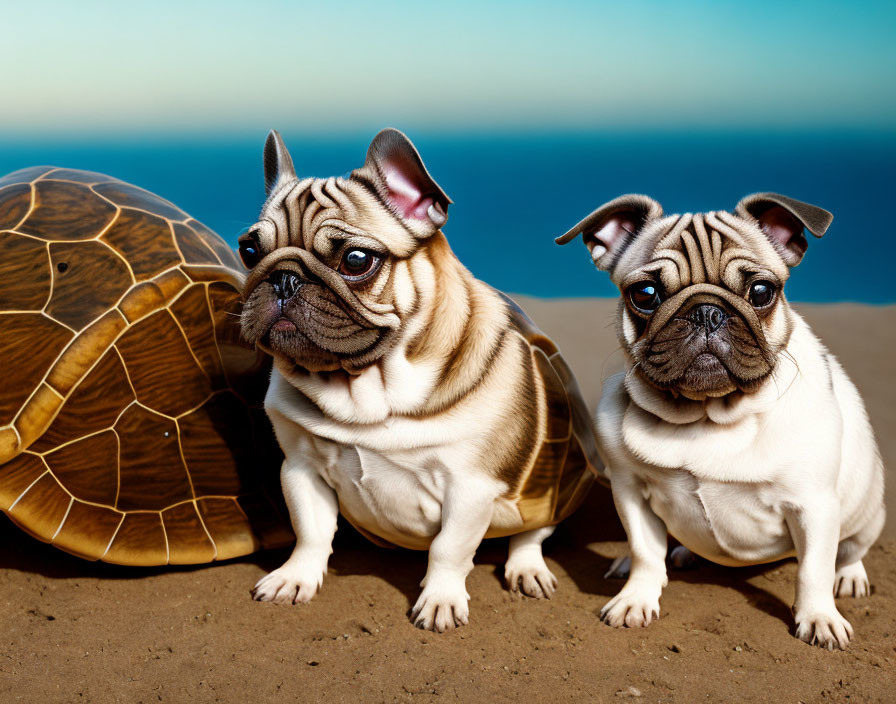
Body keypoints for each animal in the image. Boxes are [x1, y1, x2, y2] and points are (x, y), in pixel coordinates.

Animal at [238, 128, 600, 632]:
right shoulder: (300, 469)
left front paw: (440, 599)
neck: (364, 388)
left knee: (530, 533)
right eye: (249, 251)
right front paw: (296, 577)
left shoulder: (471, 487)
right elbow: (309, 532)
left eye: (356, 260)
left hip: (549, 486)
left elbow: (449, 548)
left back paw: (526, 568)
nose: (283, 279)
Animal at [556, 192, 884, 648]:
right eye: (645, 294)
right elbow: (644, 551)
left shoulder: (814, 505)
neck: (708, 415)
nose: (707, 312)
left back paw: (849, 576)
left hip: (868, 508)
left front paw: (819, 617)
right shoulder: (629, 491)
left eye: (762, 292)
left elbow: (813, 569)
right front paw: (636, 597)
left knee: (851, 549)